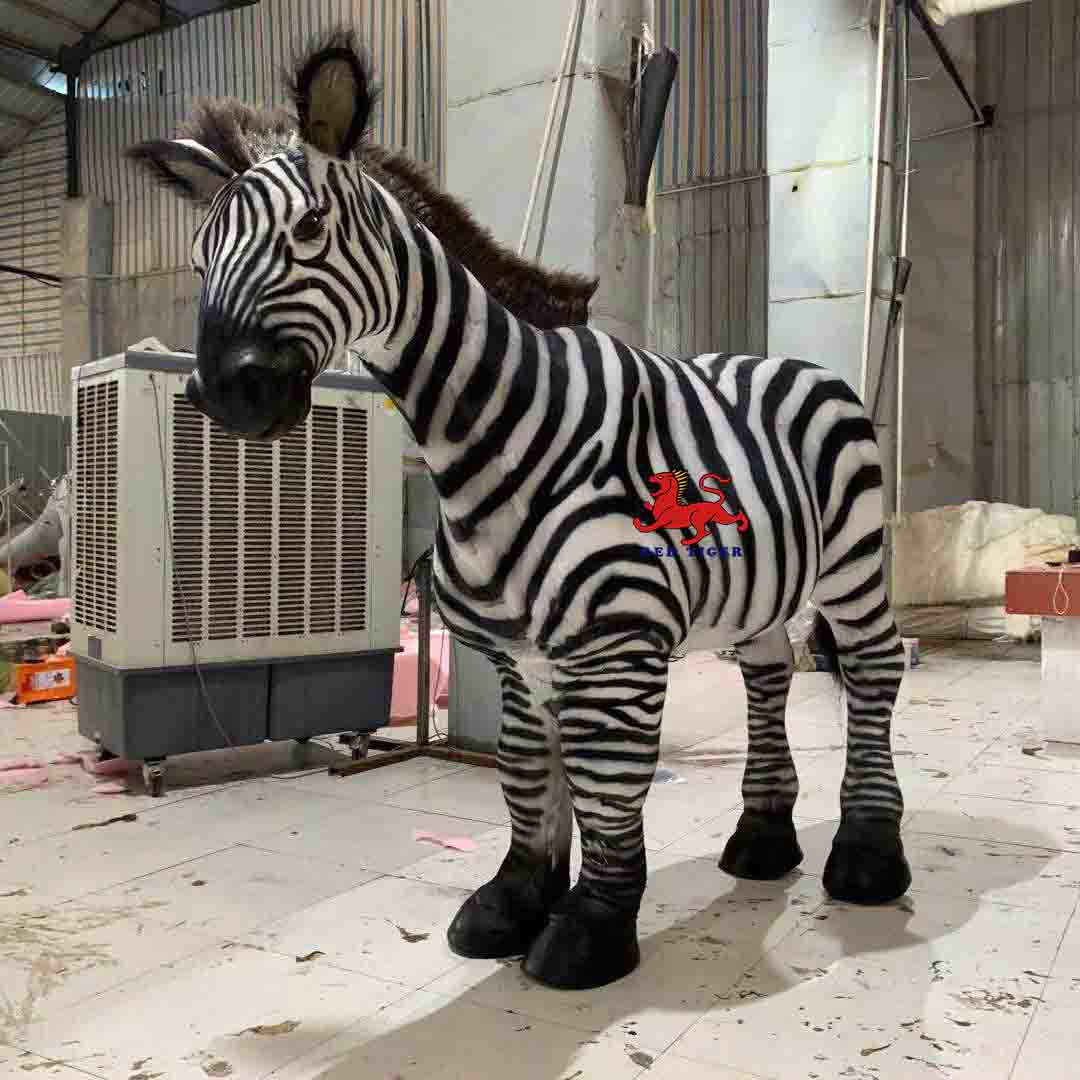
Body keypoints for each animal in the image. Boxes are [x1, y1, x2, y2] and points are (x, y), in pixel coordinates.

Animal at [129, 31, 912, 991]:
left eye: (309, 229)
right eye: (201, 259)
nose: (221, 394)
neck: (501, 435)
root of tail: (787, 360)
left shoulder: (615, 645)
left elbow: (605, 787)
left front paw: (591, 932)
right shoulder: (520, 655)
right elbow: (528, 781)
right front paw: (513, 903)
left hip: (853, 561)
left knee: (872, 671)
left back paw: (868, 856)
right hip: (757, 588)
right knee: (766, 673)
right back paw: (763, 841)